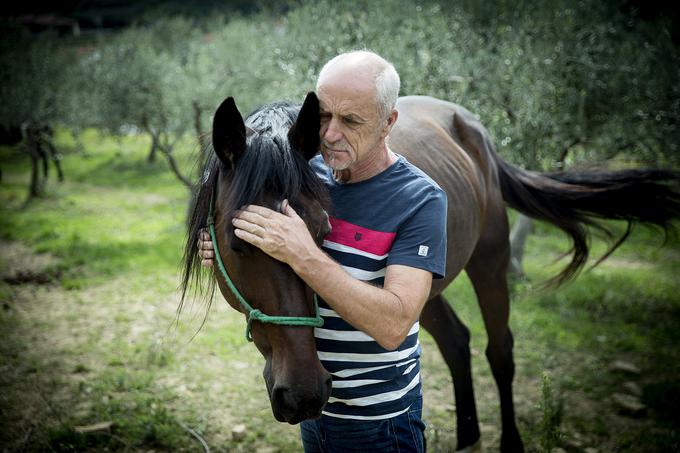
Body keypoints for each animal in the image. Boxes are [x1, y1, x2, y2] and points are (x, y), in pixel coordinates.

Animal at [182, 92, 680, 452]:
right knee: (457, 343)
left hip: (490, 262)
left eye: (320, 235)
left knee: (499, 351)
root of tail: (474, 127)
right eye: (237, 243)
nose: (304, 394)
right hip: (431, 294)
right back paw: (467, 437)